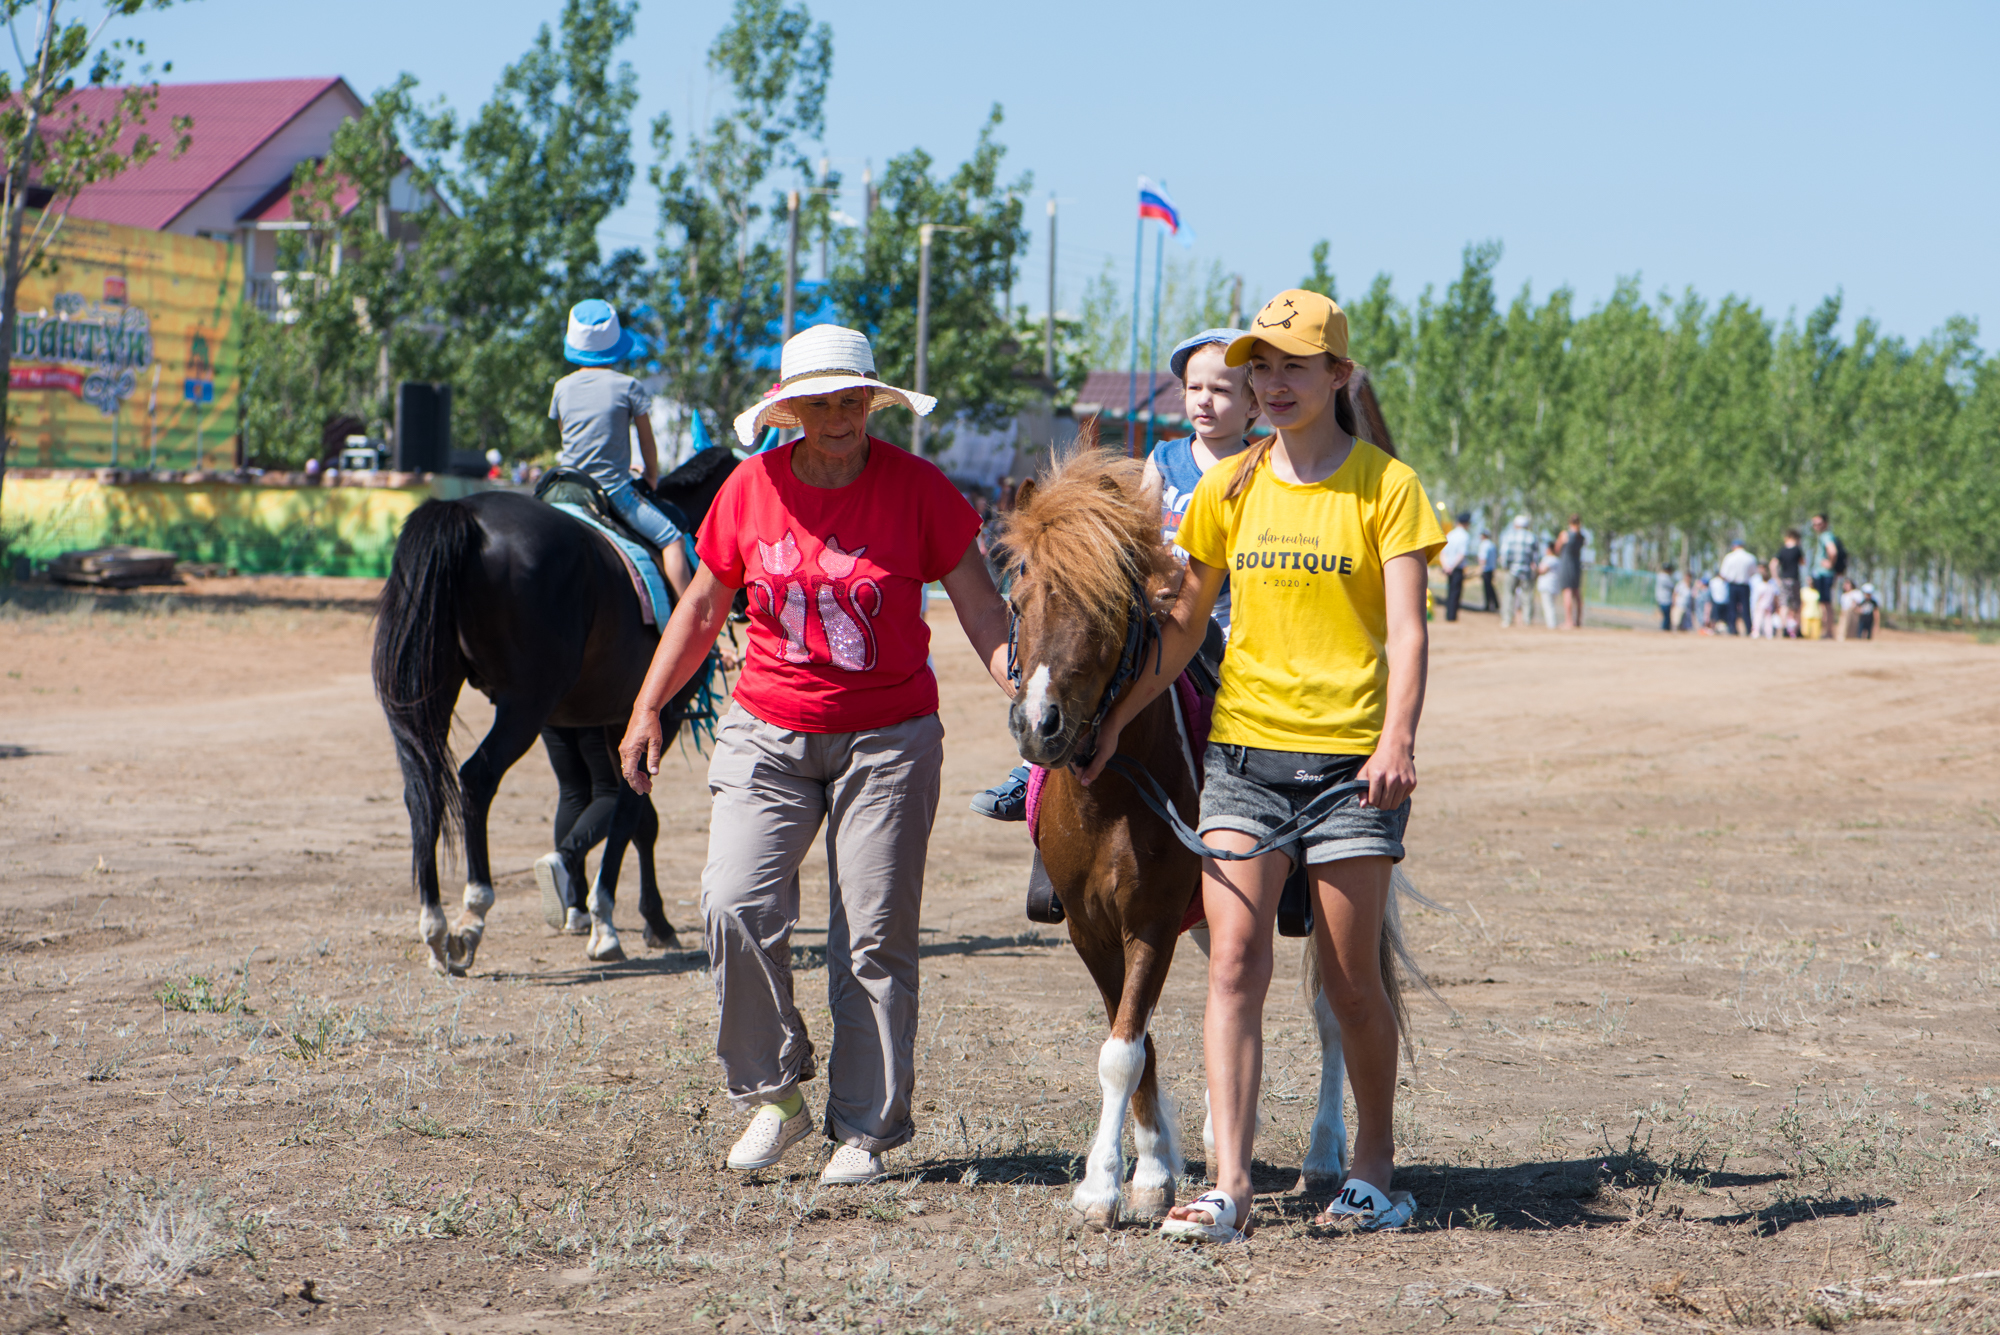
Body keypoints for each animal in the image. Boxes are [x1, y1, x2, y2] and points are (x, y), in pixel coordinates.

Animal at [372, 443, 740, 975]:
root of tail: (462, 511)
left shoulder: (615, 724)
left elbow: (638, 821)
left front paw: (653, 920)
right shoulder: (661, 720)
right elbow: (629, 815)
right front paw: (607, 921)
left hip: (436, 693)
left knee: (423, 791)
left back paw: (435, 925)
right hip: (526, 704)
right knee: (477, 778)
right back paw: (473, 915)